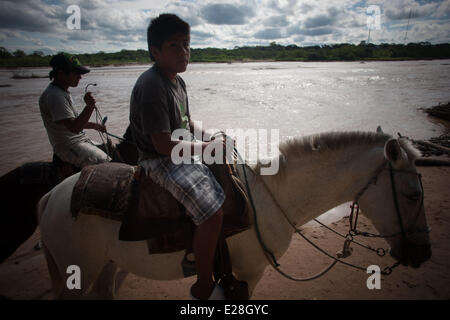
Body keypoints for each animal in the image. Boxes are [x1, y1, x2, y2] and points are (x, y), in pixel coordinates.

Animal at [37, 129, 430, 298]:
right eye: (412, 195)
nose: (423, 255)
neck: (274, 196)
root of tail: (52, 196)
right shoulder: (248, 273)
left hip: (106, 265)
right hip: (78, 272)